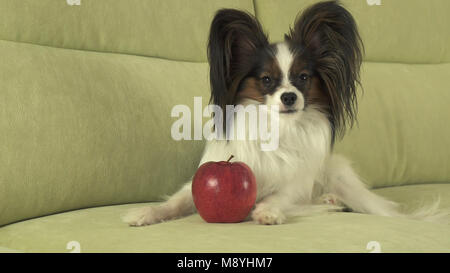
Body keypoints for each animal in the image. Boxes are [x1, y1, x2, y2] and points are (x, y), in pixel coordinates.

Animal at [123, 0, 442, 225]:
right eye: (266, 80)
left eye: (303, 78)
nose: (289, 96)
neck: (276, 127)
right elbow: (177, 201)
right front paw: (146, 213)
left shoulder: (296, 184)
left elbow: (280, 196)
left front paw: (267, 212)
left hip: (339, 174)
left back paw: (332, 200)